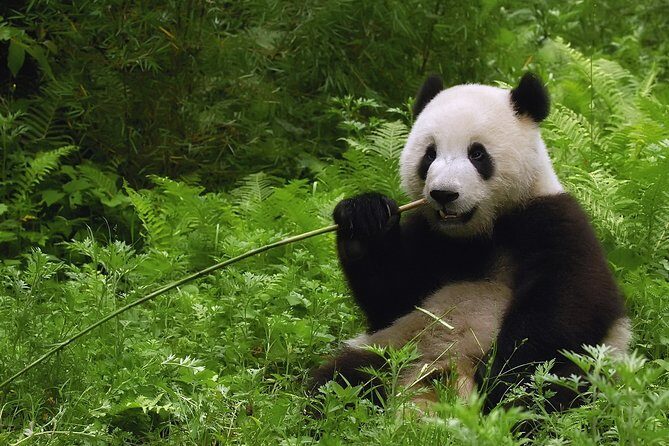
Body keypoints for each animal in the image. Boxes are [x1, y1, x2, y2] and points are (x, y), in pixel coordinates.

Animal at [311, 73, 631, 414]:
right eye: (429, 154)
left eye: (477, 154)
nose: (444, 194)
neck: (477, 233)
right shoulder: (428, 236)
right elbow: (391, 298)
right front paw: (364, 217)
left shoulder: (553, 220)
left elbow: (568, 302)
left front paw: (500, 374)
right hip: (395, 346)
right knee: (342, 379)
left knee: (555, 387)